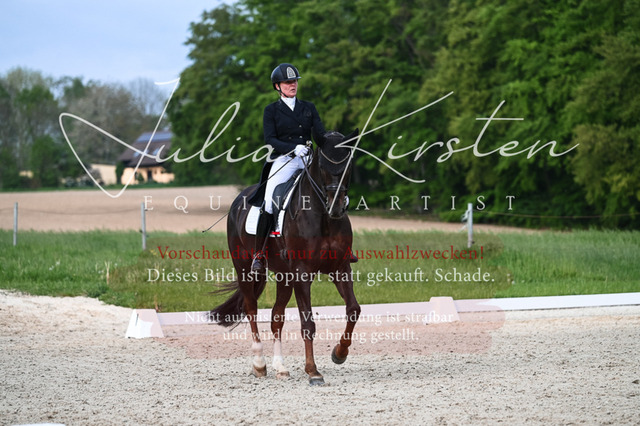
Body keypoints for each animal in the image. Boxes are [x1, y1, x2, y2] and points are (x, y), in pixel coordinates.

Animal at [210, 129, 361, 385]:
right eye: (323, 165)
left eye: (349, 164)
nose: (337, 207)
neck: (323, 217)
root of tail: (241, 198)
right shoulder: (302, 273)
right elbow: (307, 322)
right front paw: (312, 371)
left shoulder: (340, 268)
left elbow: (353, 309)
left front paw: (339, 353)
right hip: (245, 268)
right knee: (251, 309)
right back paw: (259, 364)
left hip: (284, 275)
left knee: (276, 317)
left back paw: (280, 367)